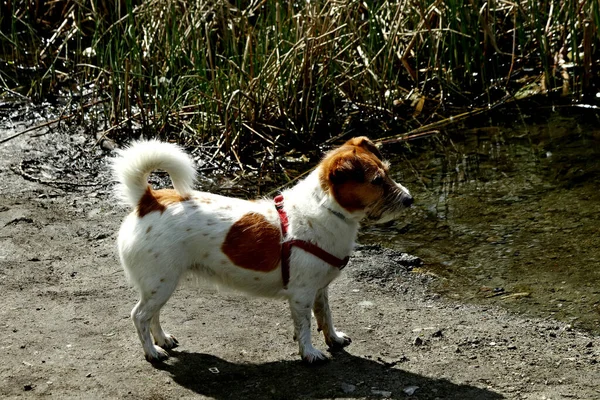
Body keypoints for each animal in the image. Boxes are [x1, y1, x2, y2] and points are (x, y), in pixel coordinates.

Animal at [111, 137, 412, 362]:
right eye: (376, 181)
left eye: (387, 173)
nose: (409, 200)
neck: (325, 209)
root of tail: (150, 200)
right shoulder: (301, 294)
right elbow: (304, 325)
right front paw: (310, 353)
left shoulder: (319, 290)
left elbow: (325, 315)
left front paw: (334, 339)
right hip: (160, 283)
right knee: (139, 316)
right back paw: (152, 352)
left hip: (162, 284)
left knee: (153, 315)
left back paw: (162, 339)